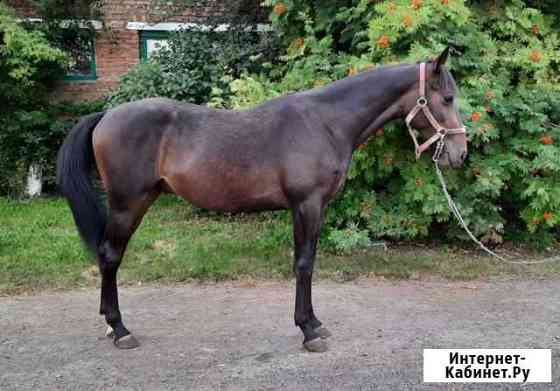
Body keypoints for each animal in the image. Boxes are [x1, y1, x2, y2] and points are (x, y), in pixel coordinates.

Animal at [58, 47, 468, 354]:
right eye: (447, 98)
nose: (461, 154)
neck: (326, 122)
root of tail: (107, 115)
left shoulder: (315, 208)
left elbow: (309, 261)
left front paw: (314, 322)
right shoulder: (306, 205)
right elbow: (304, 264)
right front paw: (308, 332)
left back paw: (110, 325)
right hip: (129, 204)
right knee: (110, 256)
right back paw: (120, 329)